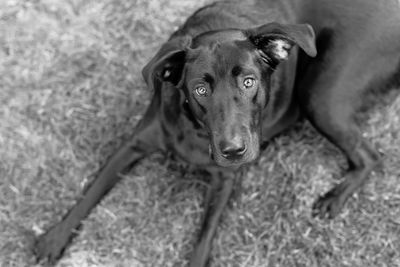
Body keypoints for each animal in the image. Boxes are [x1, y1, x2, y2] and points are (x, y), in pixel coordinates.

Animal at [33, 0, 400, 266]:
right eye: (200, 90)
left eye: (249, 82)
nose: (233, 150)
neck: (195, 132)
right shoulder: (135, 143)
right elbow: (91, 190)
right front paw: (55, 237)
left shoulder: (225, 178)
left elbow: (204, 235)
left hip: (319, 96)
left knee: (370, 156)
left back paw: (333, 199)